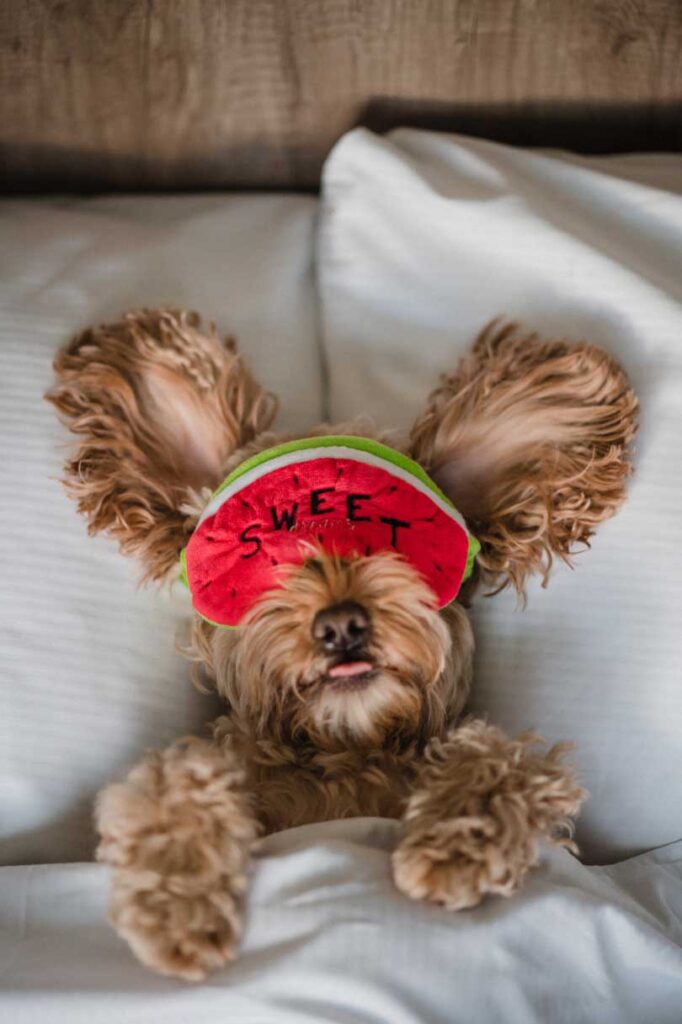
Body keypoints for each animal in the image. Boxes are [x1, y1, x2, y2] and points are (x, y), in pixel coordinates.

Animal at [47, 307, 638, 978]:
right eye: (269, 559)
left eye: (393, 547)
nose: (341, 624)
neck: (345, 752)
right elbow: (179, 774)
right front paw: (179, 902)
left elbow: (507, 758)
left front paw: (454, 847)